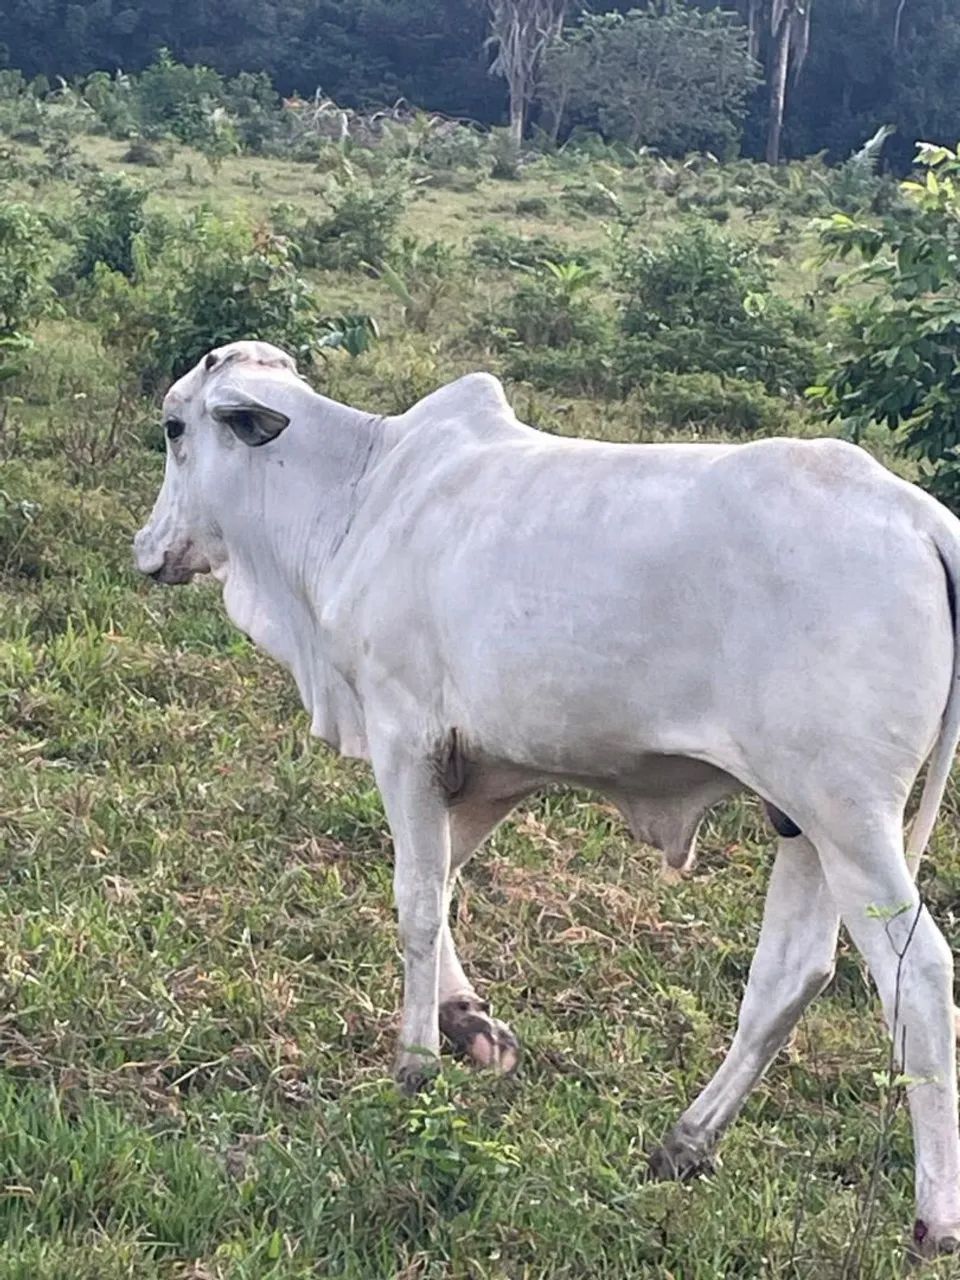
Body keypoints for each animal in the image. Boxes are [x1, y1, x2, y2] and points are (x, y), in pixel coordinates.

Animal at [134, 340, 960, 1258]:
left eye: (174, 427)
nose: (147, 548)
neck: (362, 491)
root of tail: (924, 520)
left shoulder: (405, 738)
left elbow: (417, 902)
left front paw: (416, 1065)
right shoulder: (485, 765)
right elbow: (444, 883)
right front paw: (469, 1023)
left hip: (851, 817)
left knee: (920, 974)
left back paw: (934, 1218)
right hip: (803, 822)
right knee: (792, 973)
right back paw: (685, 1142)